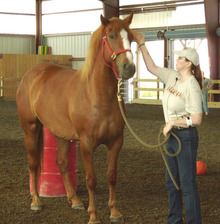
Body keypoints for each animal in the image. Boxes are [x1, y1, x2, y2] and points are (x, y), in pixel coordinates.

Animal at [16, 13, 135, 223]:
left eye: (130, 37)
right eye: (111, 36)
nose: (129, 67)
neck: (96, 96)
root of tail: (32, 74)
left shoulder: (115, 142)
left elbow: (112, 176)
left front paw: (114, 213)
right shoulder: (86, 144)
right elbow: (91, 180)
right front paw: (94, 216)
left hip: (61, 135)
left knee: (62, 163)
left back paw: (75, 200)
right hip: (30, 128)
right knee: (33, 163)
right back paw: (36, 201)